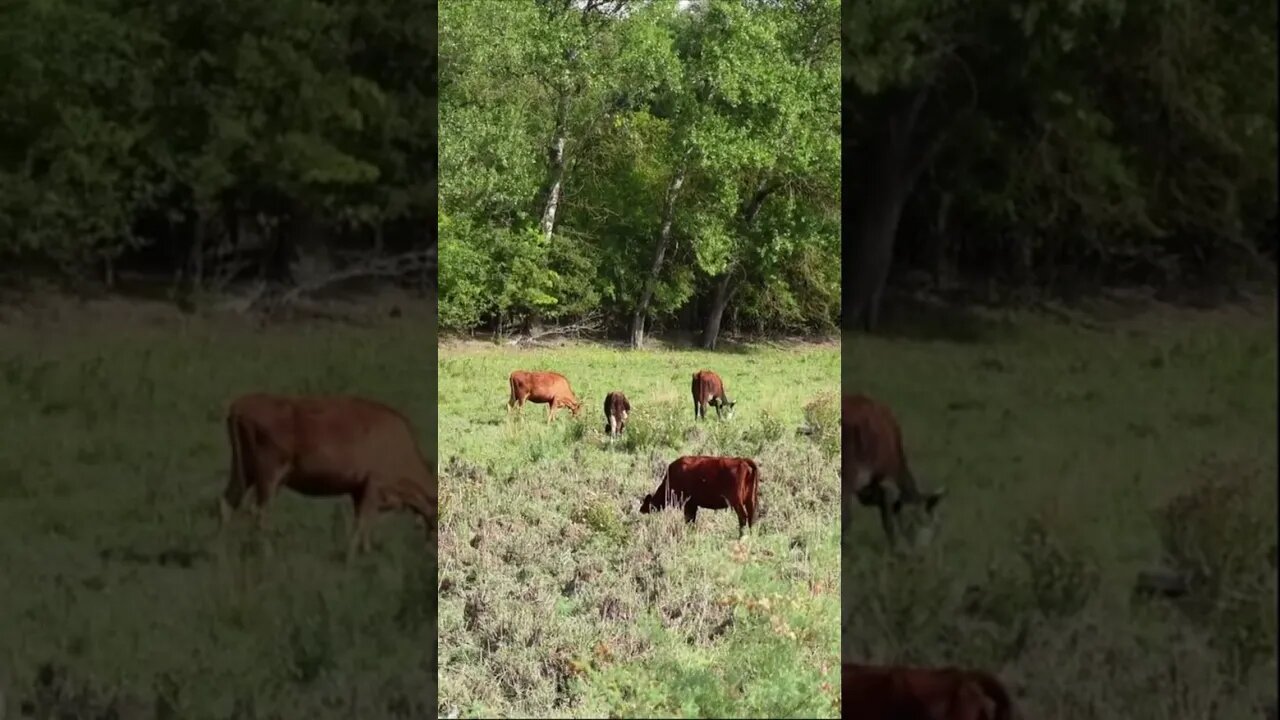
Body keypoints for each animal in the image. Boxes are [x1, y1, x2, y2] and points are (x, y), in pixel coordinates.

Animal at [219, 393, 437, 558]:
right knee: (260, 513)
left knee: (229, 501)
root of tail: (241, 404)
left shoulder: (360, 491)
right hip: (269, 474)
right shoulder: (373, 486)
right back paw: (267, 556)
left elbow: (364, 526)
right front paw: (350, 559)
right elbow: (361, 524)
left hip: (245, 471)